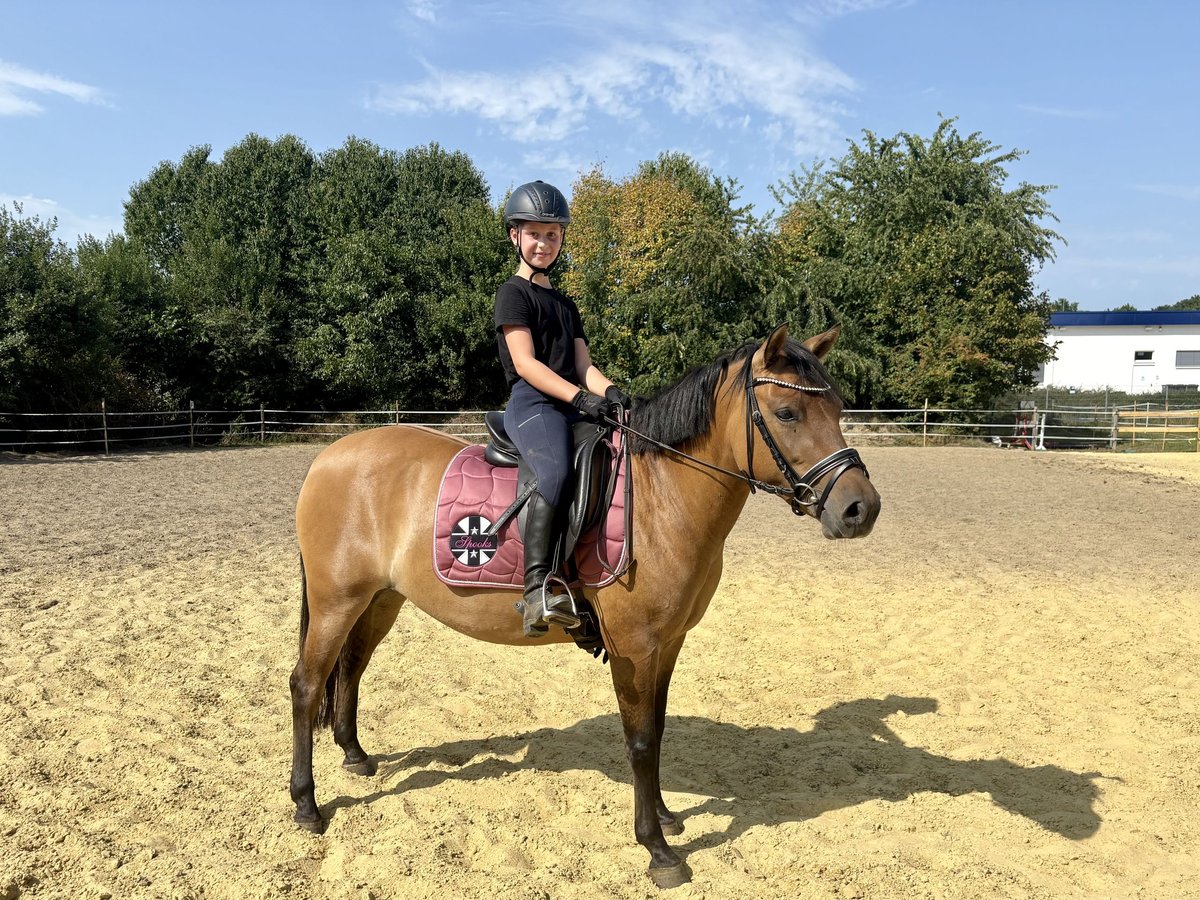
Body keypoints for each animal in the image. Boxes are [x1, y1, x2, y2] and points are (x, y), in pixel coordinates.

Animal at [288, 323, 882, 888]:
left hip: (379, 600)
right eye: (786, 412)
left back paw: (355, 756)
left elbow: (656, 731)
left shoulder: (668, 644)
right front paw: (657, 849)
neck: (662, 495)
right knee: (307, 685)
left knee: (352, 668)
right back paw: (307, 805)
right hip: (336, 602)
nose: (862, 509)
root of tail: (328, 457)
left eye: (838, 409)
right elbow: (639, 739)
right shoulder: (634, 647)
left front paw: (666, 817)